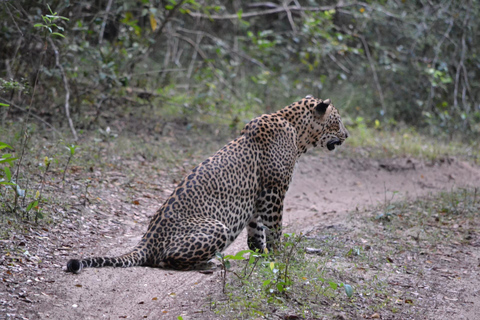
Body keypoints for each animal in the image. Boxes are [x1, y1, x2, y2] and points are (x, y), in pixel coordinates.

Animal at [66, 95, 348, 272]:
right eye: (338, 121)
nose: (347, 135)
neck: (297, 132)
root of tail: (147, 241)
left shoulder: (258, 198)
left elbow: (256, 232)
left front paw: (261, 256)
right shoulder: (273, 192)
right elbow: (275, 229)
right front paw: (278, 256)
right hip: (216, 227)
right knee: (165, 260)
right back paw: (208, 264)